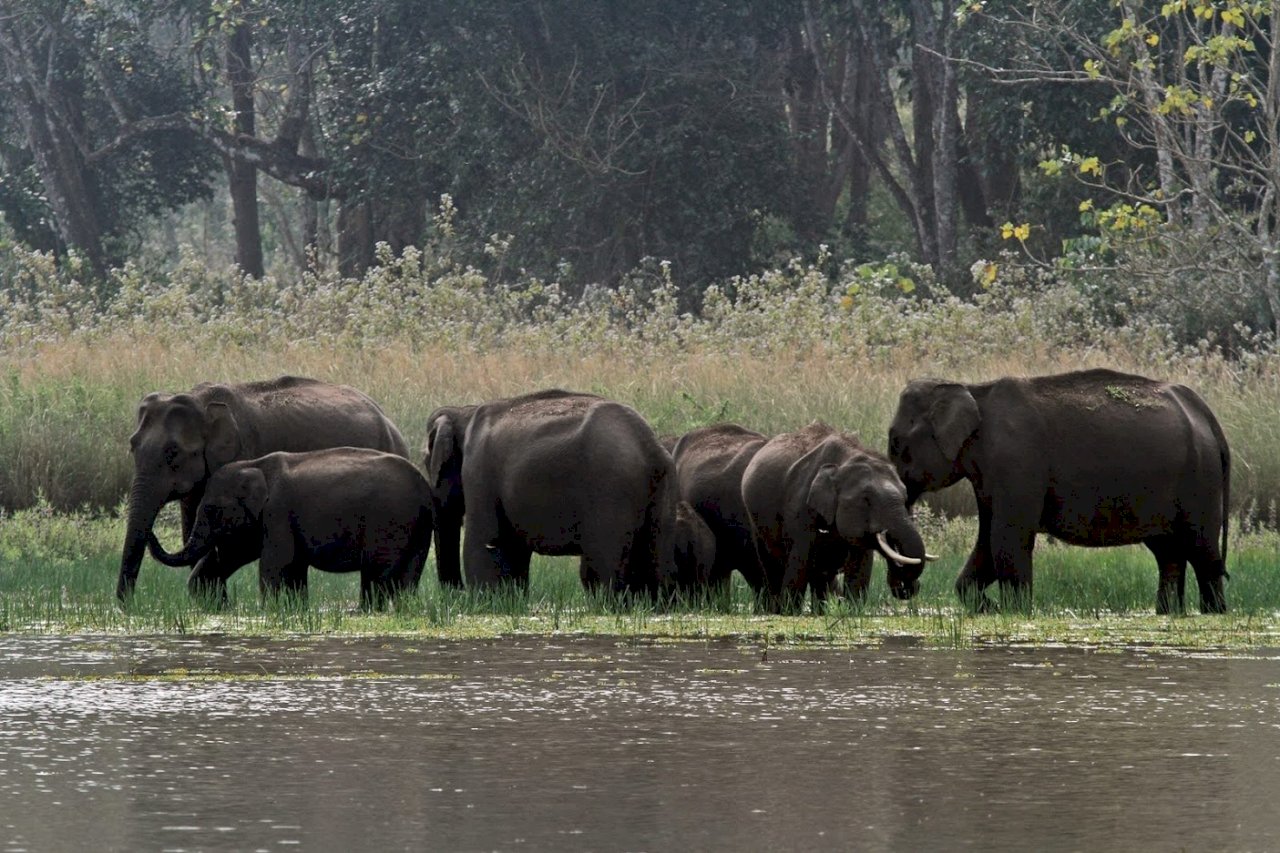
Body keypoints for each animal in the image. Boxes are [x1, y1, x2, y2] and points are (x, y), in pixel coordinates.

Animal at [119, 375, 408, 603]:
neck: (201, 401)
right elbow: (192, 528)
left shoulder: (241, 454)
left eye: (173, 452)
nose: (128, 606)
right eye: (132, 445)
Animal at [145, 447, 432, 609]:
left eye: (211, 510)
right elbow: (293, 570)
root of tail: (423, 487)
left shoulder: (277, 513)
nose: (150, 530)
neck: (254, 464)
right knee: (409, 576)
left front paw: (268, 611)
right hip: (419, 529)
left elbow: (274, 564)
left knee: (376, 574)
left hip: (390, 522)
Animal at [424, 389, 677, 596]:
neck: (463, 412)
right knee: (655, 559)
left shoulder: (479, 471)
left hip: (611, 491)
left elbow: (485, 544)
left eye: (429, 464)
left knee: (599, 567)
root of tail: (651, 447)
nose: (457, 593)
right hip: (660, 492)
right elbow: (514, 550)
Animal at [741, 422, 933, 613]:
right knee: (771, 567)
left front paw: (853, 612)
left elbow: (859, 568)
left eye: (905, 496)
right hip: (755, 521)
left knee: (820, 576)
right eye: (866, 500)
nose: (906, 587)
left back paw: (818, 613)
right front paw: (791, 613)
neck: (844, 462)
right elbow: (799, 564)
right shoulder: (799, 509)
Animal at [887, 368, 1231, 613]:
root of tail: (1205, 413)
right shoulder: (990, 477)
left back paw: (1213, 613)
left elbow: (1006, 540)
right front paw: (990, 609)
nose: (908, 590)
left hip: (1200, 477)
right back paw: (1169, 614)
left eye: (894, 442)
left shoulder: (1016, 462)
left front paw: (1015, 612)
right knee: (1168, 553)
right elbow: (987, 541)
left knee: (1202, 551)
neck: (972, 389)